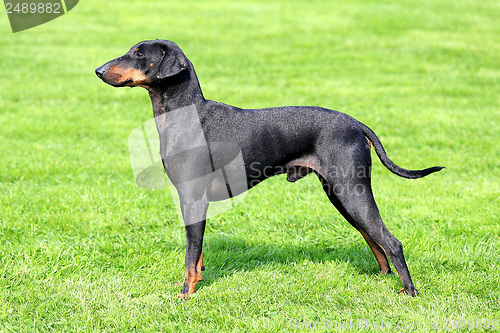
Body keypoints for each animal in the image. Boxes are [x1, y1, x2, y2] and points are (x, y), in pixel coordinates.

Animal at [95, 39, 444, 296]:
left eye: (140, 54)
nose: (98, 70)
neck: (185, 115)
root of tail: (357, 123)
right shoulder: (192, 201)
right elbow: (199, 252)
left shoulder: (193, 198)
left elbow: (190, 257)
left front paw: (185, 294)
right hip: (340, 194)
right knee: (374, 239)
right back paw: (383, 277)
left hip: (350, 191)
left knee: (391, 241)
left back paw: (409, 292)